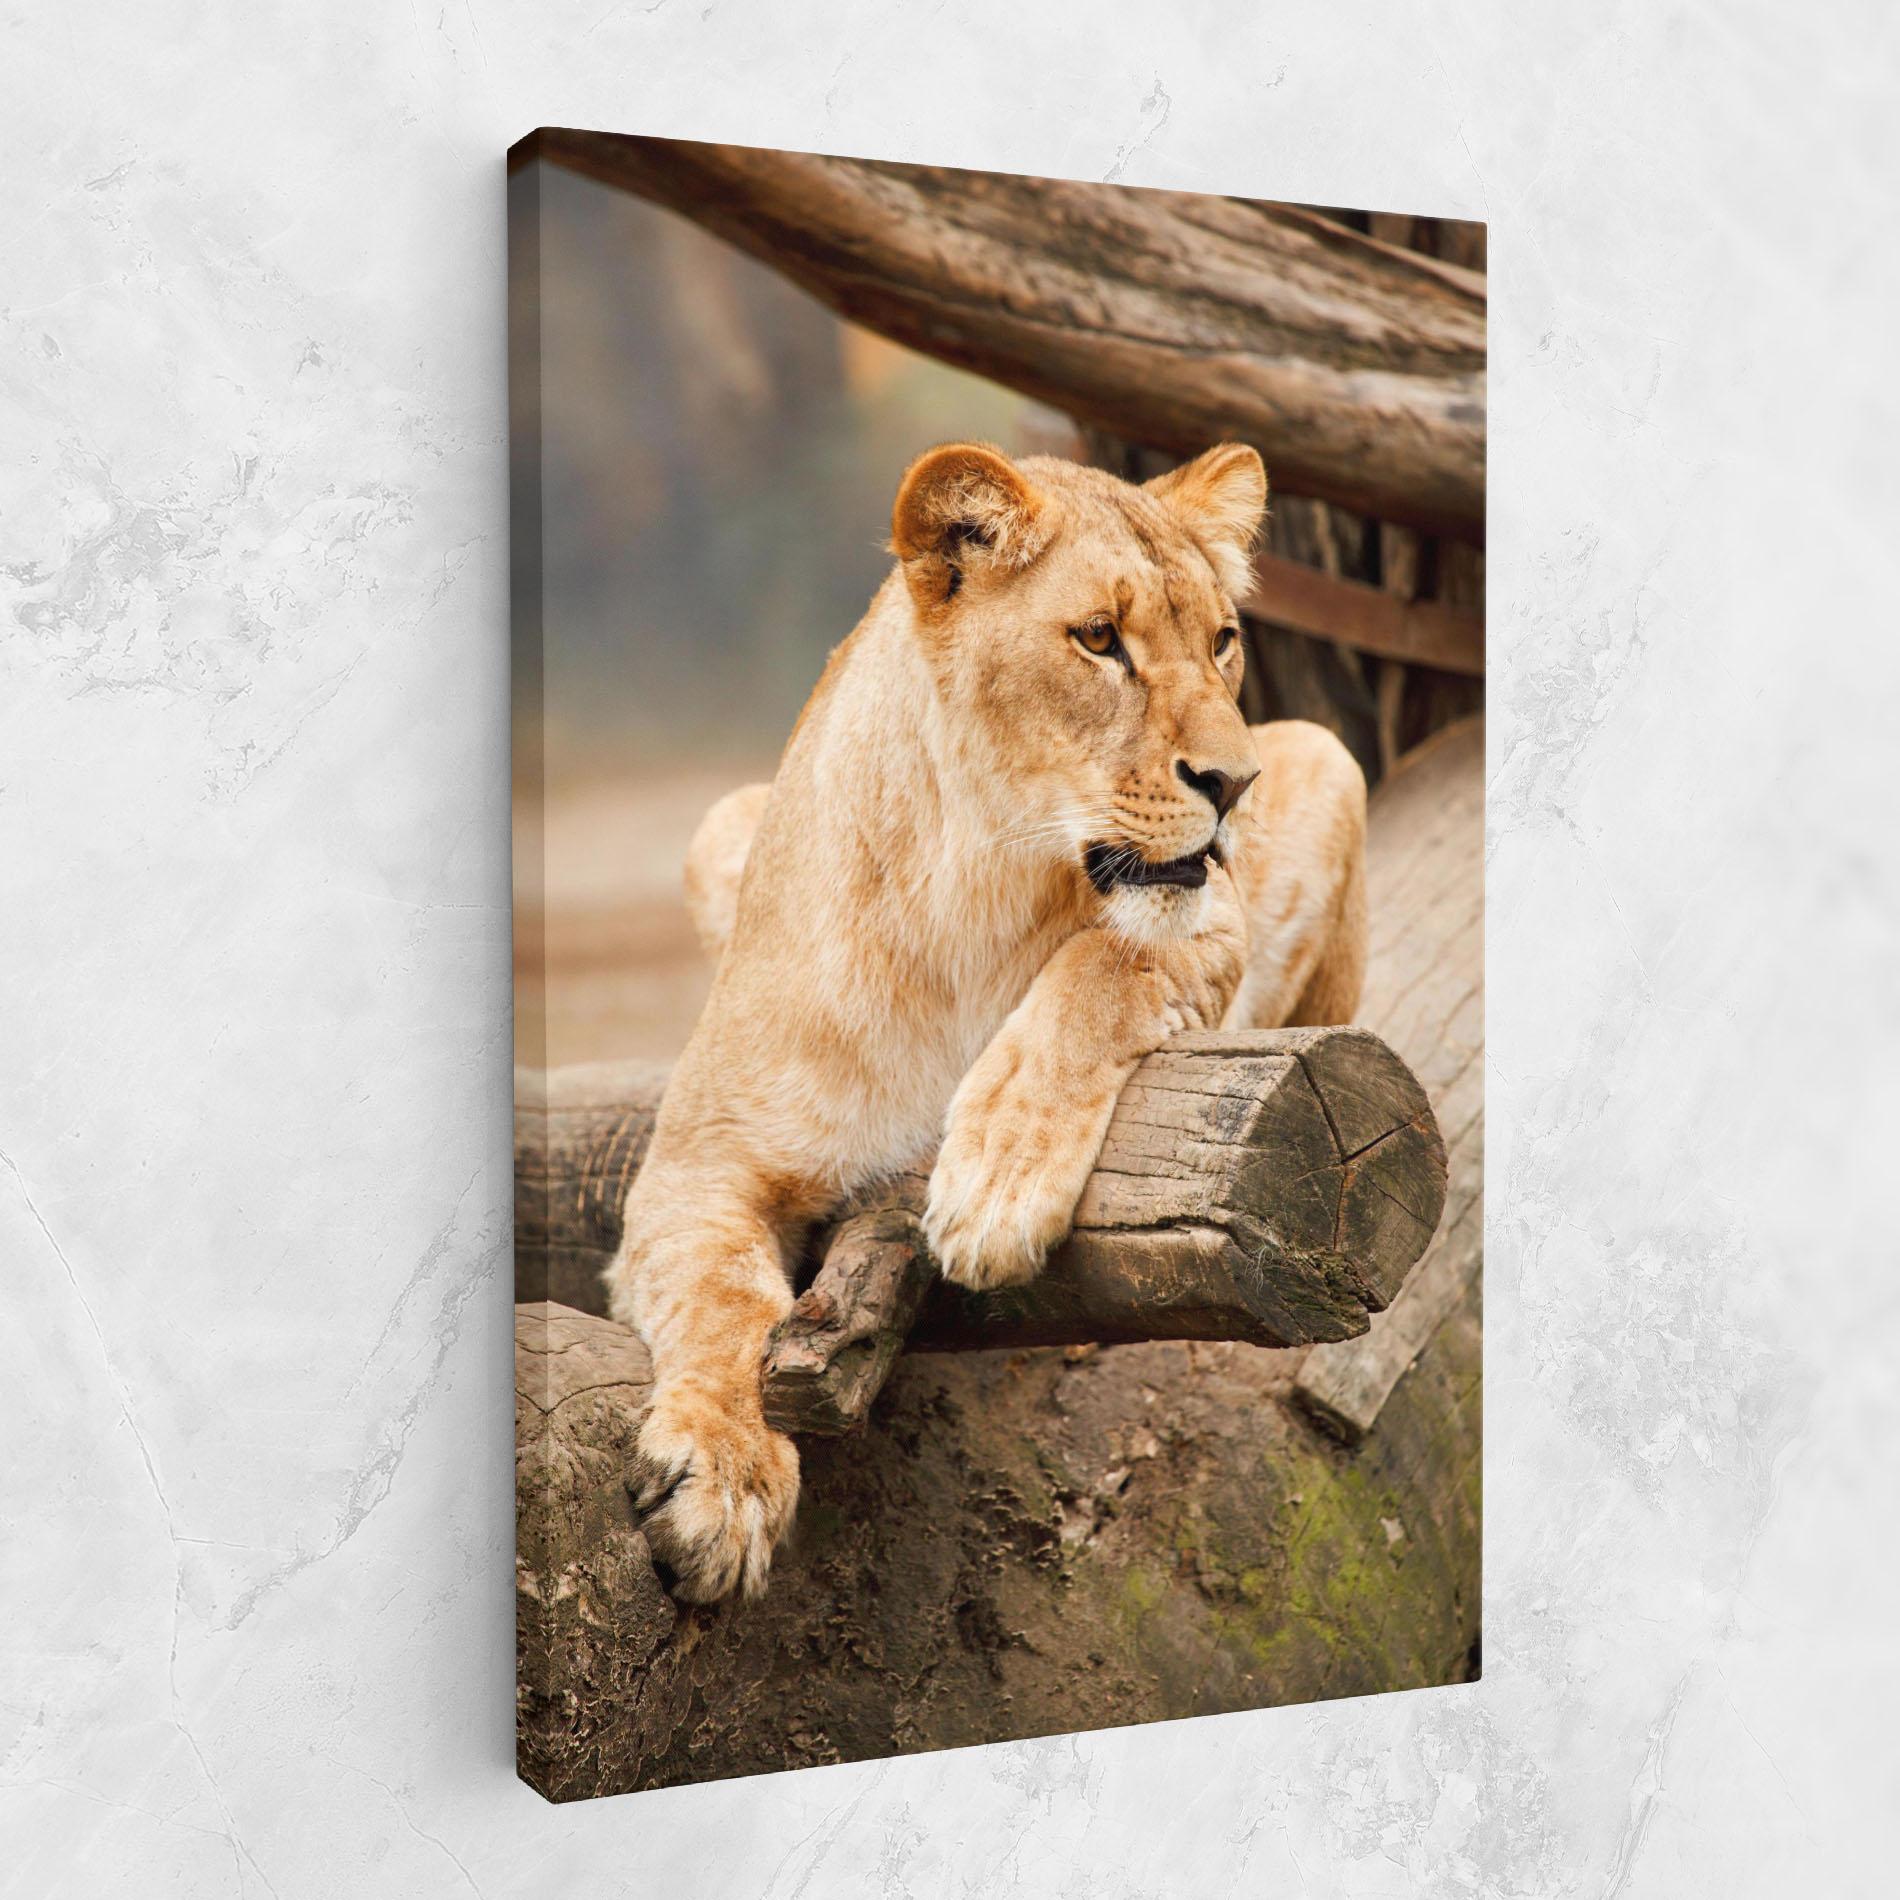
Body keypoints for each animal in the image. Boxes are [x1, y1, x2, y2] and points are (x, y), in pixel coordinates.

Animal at [604, 441, 1367, 1602]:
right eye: (1099, 638)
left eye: (1222, 641)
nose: (1236, 784)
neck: (970, 890)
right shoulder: (697, 1163)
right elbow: (720, 1298)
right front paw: (724, 1478)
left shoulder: (1207, 915)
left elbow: (1103, 961)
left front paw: (994, 1185)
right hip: (718, 825)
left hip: (1328, 754)